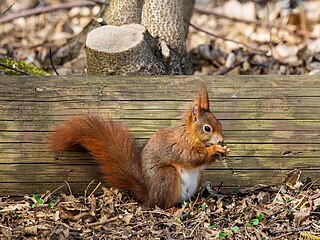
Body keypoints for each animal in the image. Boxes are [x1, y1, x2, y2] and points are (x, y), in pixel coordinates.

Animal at [49, 83, 230, 209]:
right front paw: (215, 149)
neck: (190, 135)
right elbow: (193, 157)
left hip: (196, 179)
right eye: (207, 128)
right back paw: (172, 209)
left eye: (220, 123)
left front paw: (224, 150)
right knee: (161, 206)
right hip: (167, 177)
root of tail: (149, 195)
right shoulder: (180, 147)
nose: (221, 140)